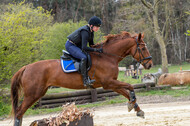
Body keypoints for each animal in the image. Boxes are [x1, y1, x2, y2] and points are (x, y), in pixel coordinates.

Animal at [10, 31, 153, 125]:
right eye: (142, 48)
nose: (150, 64)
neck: (108, 57)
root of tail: (26, 67)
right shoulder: (109, 83)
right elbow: (130, 87)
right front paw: (133, 104)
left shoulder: (111, 84)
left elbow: (127, 93)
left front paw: (137, 110)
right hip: (33, 94)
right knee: (19, 112)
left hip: (37, 93)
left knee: (20, 113)